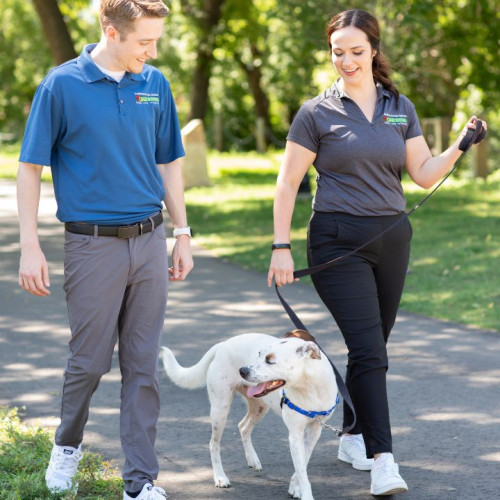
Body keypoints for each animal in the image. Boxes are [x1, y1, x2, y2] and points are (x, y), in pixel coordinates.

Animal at [160, 328, 340, 500]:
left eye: (270, 360)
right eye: (259, 354)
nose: (243, 370)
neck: (309, 387)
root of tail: (223, 344)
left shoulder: (314, 430)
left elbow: (303, 462)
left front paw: (295, 487)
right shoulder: (295, 434)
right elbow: (302, 470)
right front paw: (305, 494)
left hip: (259, 406)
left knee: (243, 426)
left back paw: (252, 459)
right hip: (220, 408)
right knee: (213, 443)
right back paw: (220, 477)